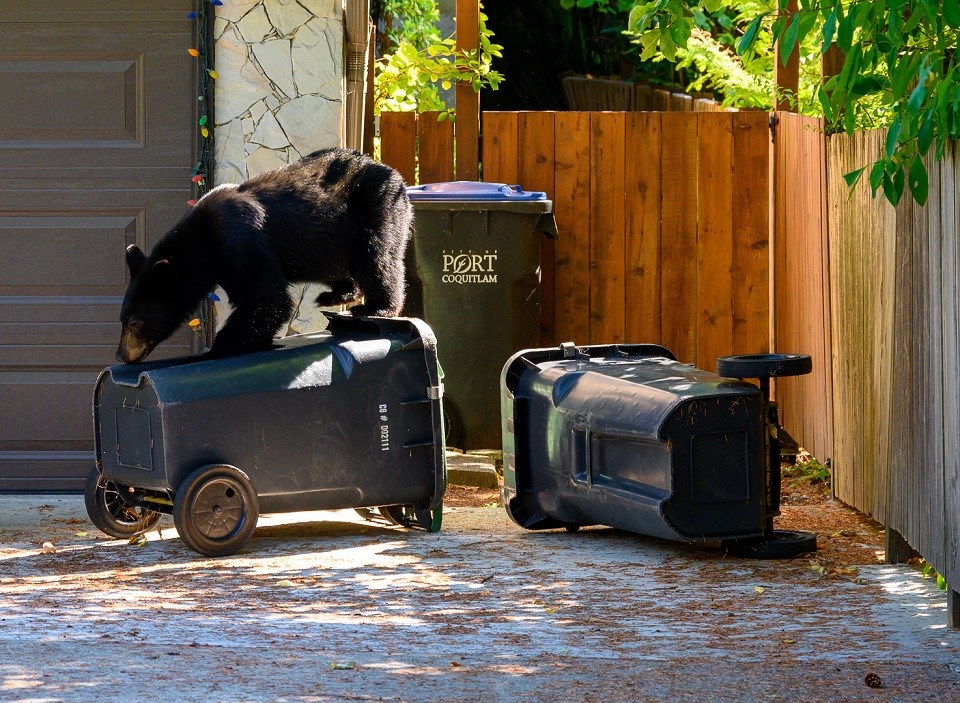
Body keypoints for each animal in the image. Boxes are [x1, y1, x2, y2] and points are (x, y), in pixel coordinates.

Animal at [114, 148, 410, 364]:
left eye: (135, 323)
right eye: (122, 319)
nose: (121, 355)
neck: (203, 242)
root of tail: (394, 173)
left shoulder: (239, 242)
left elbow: (266, 298)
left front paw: (217, 348)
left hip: (374, 208)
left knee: (377, 257)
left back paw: (377, 307)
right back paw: (337, 294)